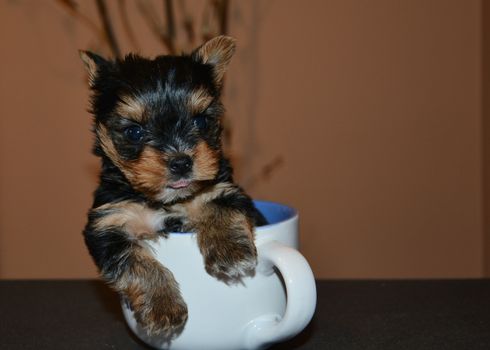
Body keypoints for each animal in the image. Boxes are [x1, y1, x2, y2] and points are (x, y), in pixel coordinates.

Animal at [80, 37, 266, 338]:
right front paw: (162, 306)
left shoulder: (222, 189)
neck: (166, 201)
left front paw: (231, 252)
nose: (181, 162)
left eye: (200, 121)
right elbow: (134, 261)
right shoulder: (108, 223)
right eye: (134, 132)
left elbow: (221, 207)